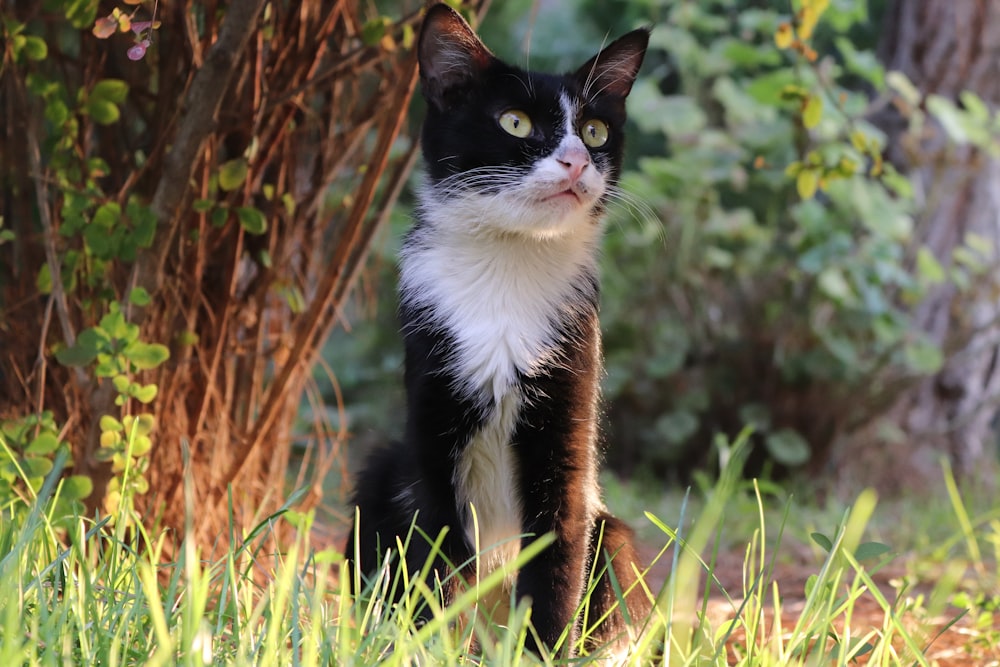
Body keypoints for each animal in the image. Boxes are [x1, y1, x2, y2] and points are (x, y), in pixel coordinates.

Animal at [348, 0, 652, 656]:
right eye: (515, 122)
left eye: (596, 131)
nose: (576, 160)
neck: (508, 267)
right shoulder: (432, 399)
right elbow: (438, 550)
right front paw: (433, 647)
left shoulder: (568, 390)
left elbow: (557, 545)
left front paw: (540, 652)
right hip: (382, 475)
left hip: (611, 532)